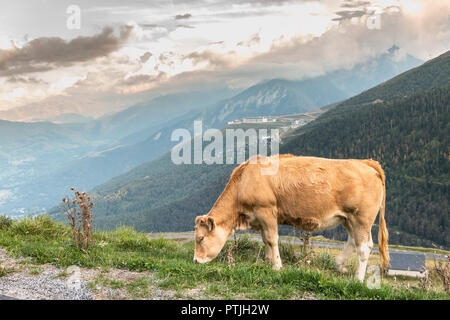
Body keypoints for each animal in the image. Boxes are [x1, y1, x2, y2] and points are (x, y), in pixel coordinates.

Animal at [192, 154, 388, 282]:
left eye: (201, 238)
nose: (195, 261)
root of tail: (366, 162)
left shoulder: (266, 210)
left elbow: (272, 239)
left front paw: (277, 266)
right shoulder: (261, 218)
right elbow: (265, 239)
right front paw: (268, 262)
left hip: (361, 218)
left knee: (364, 246)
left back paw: (358, 279)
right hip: (348, 218)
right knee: (353, 241)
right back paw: (339, 265)